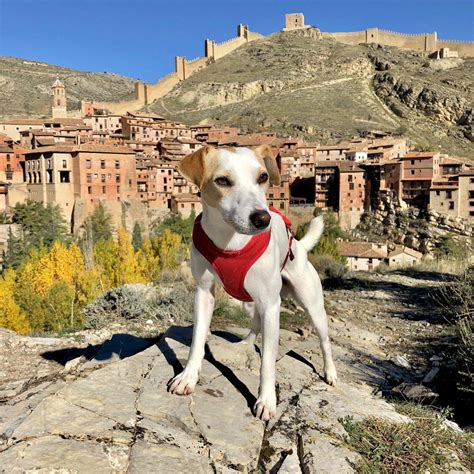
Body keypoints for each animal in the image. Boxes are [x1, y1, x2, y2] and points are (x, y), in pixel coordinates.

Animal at [167, 144, 336, 422]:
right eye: (223, 181)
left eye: (263, 177)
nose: (262, 218)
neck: (231, 242)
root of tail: (299, 246)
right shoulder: (204, 293)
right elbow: (197, 340)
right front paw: (188, 377)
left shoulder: (271, 305)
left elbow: (267, 360)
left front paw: (266, 400)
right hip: (251, 301)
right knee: (255, 322)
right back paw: (246, 342)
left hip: (311, 306)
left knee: (324, 341)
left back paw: (330, 372)